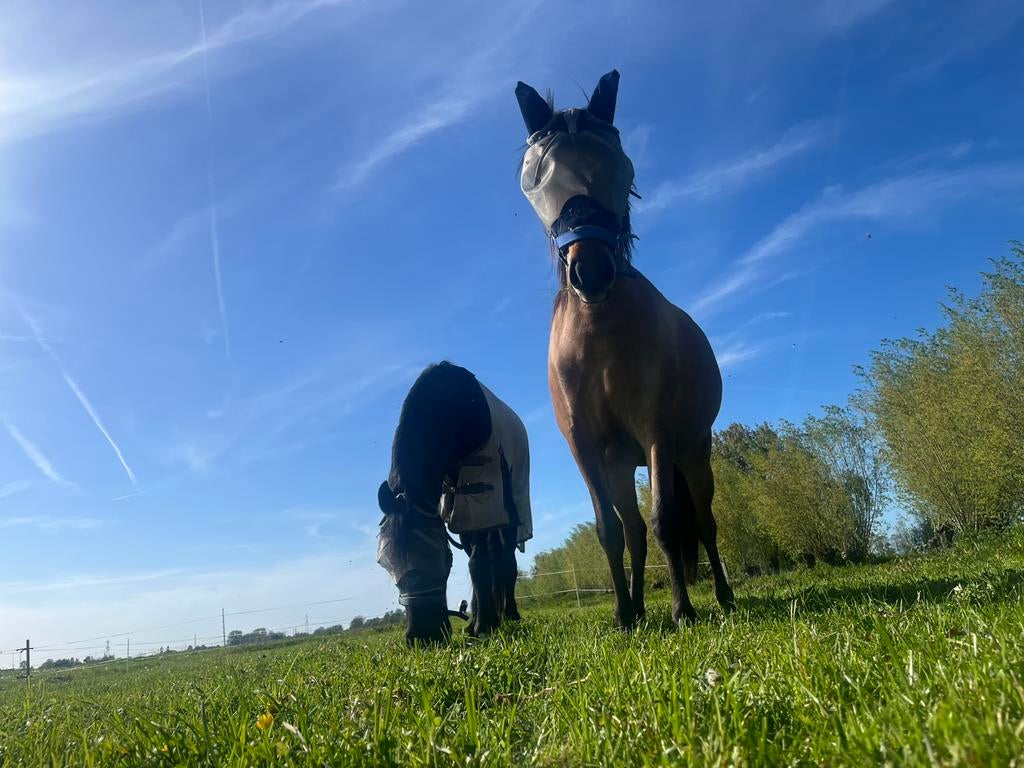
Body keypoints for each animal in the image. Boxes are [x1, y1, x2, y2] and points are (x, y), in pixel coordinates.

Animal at [376, 361, 533, 645]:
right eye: (386, 563)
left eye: (435, 556)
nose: (421, 636)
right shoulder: (461, 510)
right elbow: (476, 564)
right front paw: (480, 623)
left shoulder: (482, 500)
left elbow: (481, 563)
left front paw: (486, 625)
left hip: (507, 515)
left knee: (505, 560)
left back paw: (507, 614)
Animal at [514, 70, 735, 629]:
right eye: (537, 181)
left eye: (620, 166)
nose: (590, 271)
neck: (599, 341)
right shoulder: (586, 449)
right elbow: (610, 531)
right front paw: (622, 614)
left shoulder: (656, 433)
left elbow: (666, 521)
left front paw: (681, 610)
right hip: (619, 464)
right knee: (632, 531)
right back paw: (635, 605)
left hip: (692, 451)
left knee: (703, 521)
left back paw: (723, 597)